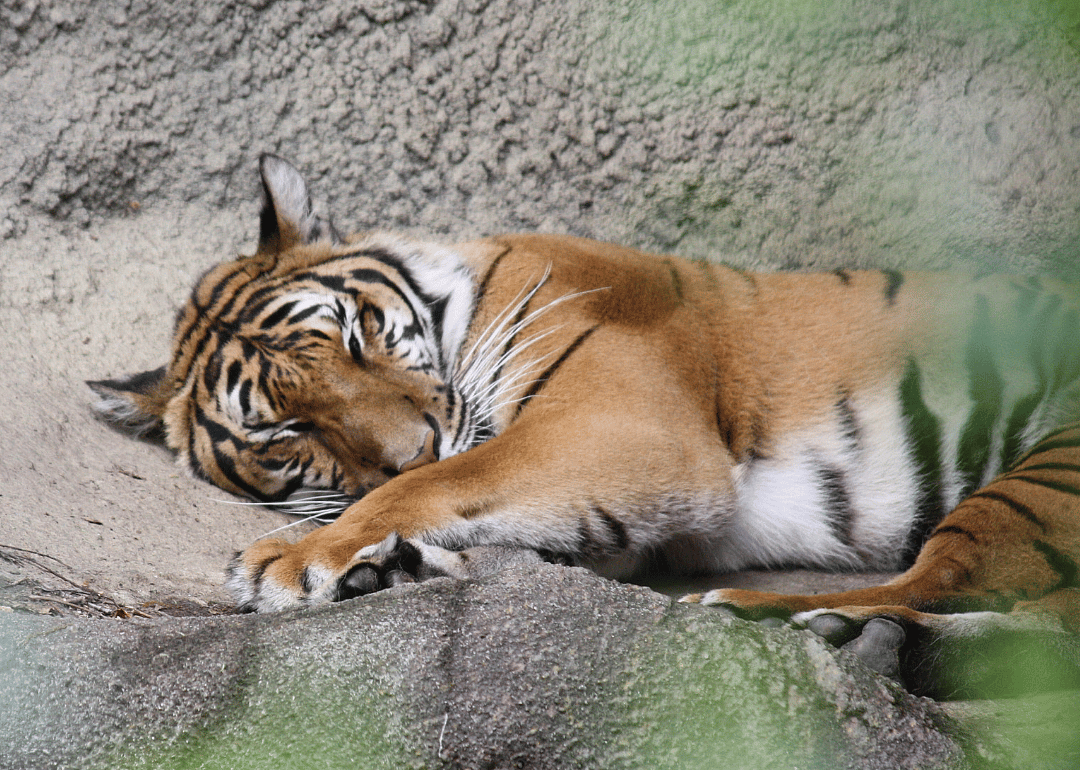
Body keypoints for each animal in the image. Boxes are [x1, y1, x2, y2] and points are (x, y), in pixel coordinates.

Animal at [90, 154, 1080, 697]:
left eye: (360, 334)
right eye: (283, 431)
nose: (409, 445)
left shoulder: (628, 423)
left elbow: (451, 477)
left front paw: (298, 559)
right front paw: (390, 565)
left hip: (1044, 472)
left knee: (947, 582)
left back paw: (792, 619)